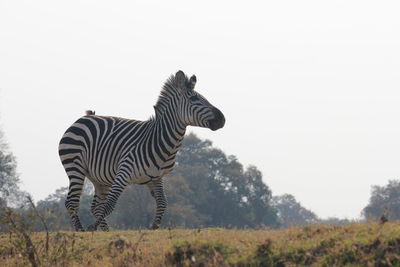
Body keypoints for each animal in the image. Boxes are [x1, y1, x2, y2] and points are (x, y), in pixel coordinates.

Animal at [57, 71, 225, 232]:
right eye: (194, 99)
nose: (222, 119)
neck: (160, 140)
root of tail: (83, 118)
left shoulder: (156, 177)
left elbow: (163, 202)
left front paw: (154, 226)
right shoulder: (123, 173)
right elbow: (111, 204)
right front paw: (92, 227)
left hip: (99, 177)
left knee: (95, 206)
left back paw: (106, 230)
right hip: (75, 166)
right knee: (72, 202)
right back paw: (81, 229)